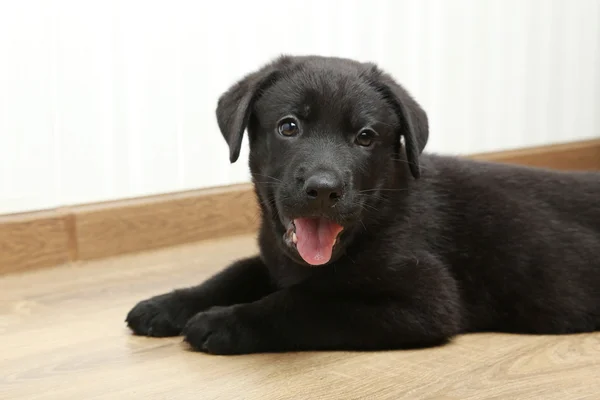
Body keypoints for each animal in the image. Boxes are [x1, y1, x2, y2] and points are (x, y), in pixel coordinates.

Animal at [126, 55, 600, 354]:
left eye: (366, 137)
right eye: (289, 127)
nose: (323, 189)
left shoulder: (425, 303)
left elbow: (305, 303)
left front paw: (223, 322)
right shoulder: (276, 258)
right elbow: (235, 272)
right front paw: (167, 305)